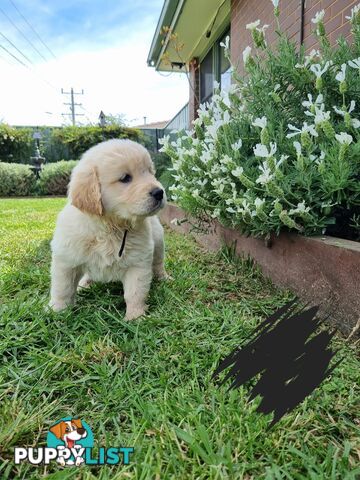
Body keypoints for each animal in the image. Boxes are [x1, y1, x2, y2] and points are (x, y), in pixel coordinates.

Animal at [49, 139, 169, 318]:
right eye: (125, 178)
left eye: (150, 172)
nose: (159, 192)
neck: (110, 227)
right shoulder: (66, 260)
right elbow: (62, 288)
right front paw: (57, 311)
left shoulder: (138, 263)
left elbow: (135, 292)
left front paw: (136, 316)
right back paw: (85, 283)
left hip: (159, 241)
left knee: (158, 263)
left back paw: (164, 278)